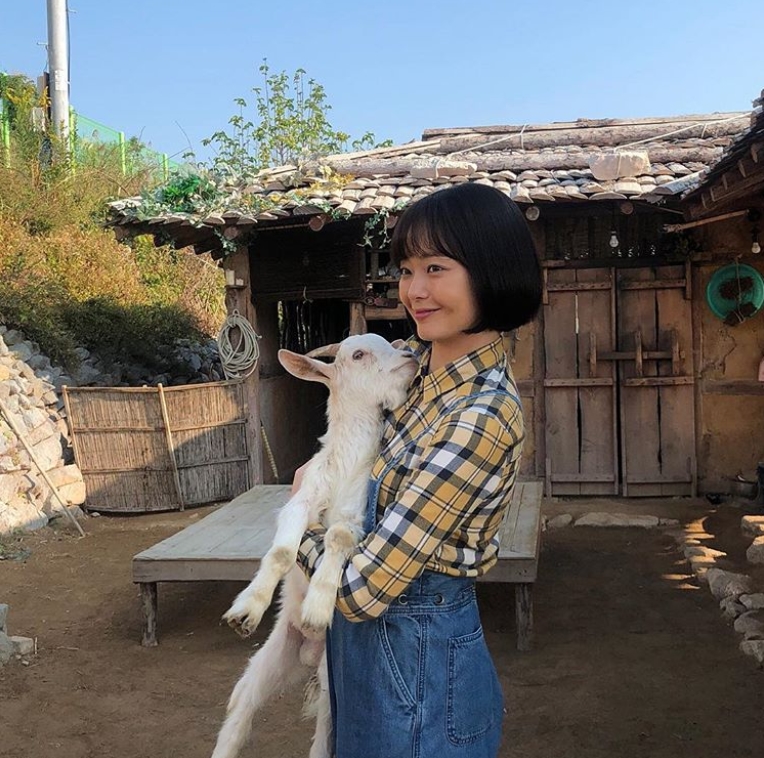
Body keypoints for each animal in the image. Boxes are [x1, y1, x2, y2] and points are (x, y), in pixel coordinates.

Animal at [210, 336, 418, 758]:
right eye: (358, 354)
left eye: (392, 345)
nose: (411, 356)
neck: (346, 464)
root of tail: (305, 653)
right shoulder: (301, 500)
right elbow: (282, 552)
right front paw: (248, 608)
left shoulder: (356, 518)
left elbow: (336, 538)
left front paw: (318, 607)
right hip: (271, 658)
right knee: (242, 709)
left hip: (327, 682)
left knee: (323, 735)